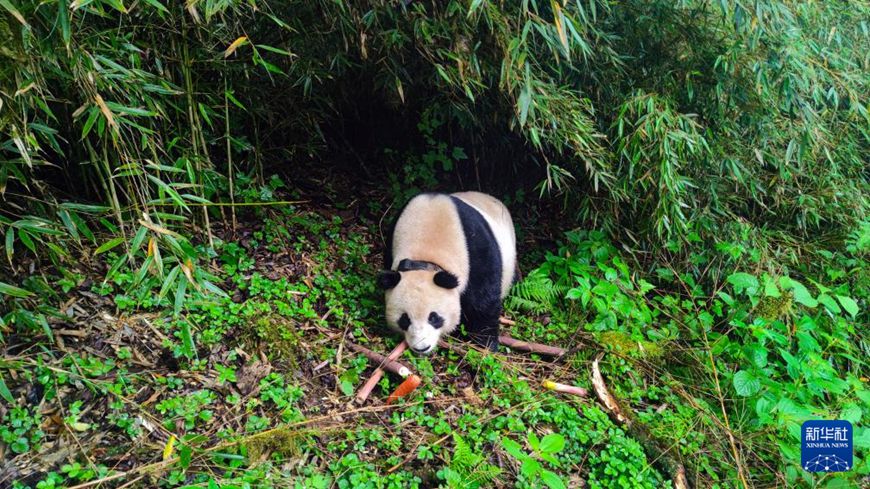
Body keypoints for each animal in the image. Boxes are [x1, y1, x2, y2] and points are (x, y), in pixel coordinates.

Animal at [376, 191, 516, 354]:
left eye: (434, 318)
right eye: (405, 319)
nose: (422, 348)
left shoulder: (475, 250)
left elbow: (483, 299)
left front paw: (486, 344)